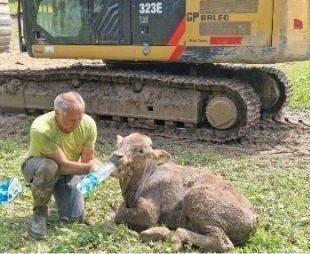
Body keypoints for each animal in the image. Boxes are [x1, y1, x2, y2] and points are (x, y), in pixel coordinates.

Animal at [110, 132, 258, 251]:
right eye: (120, 144)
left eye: (141, 150)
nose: (117, 156)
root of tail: (254, 220)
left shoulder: (149, 213)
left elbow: (119, 214)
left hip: (195, 200)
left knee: (223, 242)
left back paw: (159, 234)